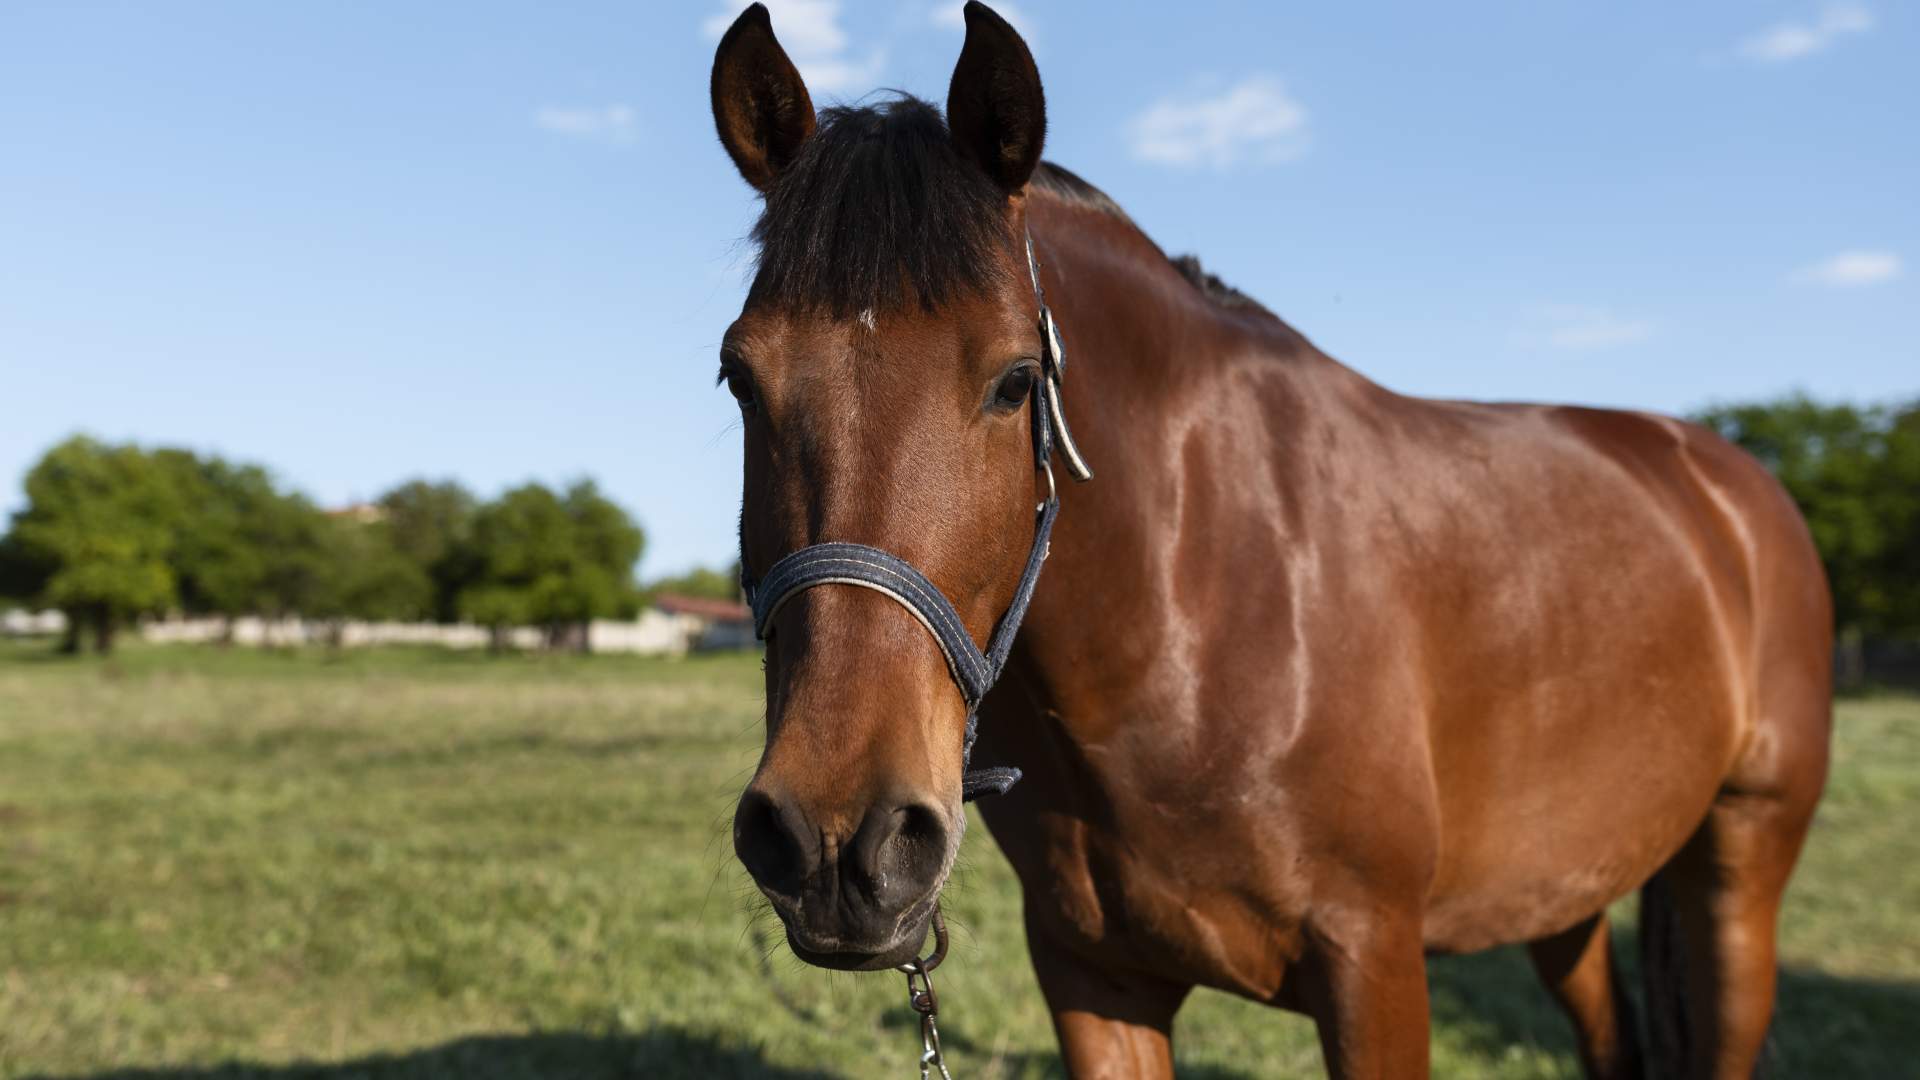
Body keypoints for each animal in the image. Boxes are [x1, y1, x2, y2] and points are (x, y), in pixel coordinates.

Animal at [708, 4, 1832, 1076]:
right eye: (740, 376)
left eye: (1016, 381)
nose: (839, 841)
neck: (1198, 606)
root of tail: (1730, 483)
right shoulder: (1094, 979)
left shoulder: (1374, 966)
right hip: (1565, 891)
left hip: (1740, 869)